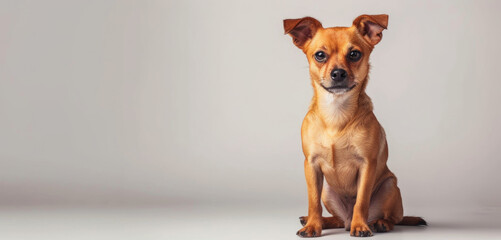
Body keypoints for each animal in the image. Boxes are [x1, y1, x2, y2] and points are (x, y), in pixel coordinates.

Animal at [284, 14, 424, 237]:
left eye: (354, 54)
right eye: (320, 55)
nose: (338, 73)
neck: (336, 112)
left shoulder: (367, 165)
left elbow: (361, 201)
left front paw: (361, 226)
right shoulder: (311, 166)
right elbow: (313, 202)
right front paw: (313, 225)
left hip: (390, 185)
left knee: (392, 218)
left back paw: (378, 223)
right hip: (327, 191)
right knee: (338, 219)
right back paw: (322, 221)